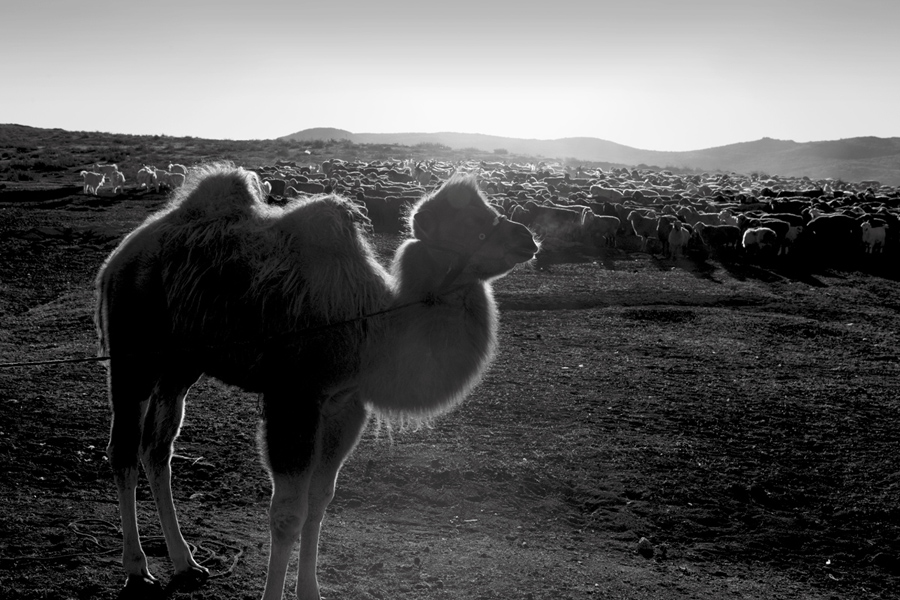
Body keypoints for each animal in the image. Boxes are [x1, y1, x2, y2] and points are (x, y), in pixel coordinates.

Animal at [95, 162, 536, 596]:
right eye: (471, 222)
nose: (527, 237)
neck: (370, 326)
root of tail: (118, 257)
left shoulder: (344, 404)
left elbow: (321, 501)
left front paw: (310, 590)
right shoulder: (294, 399)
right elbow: (288, 513)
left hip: (180, 367)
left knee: (157, 449)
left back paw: (186, 563)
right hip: (132, 355)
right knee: (124, 451)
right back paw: (136, 567)